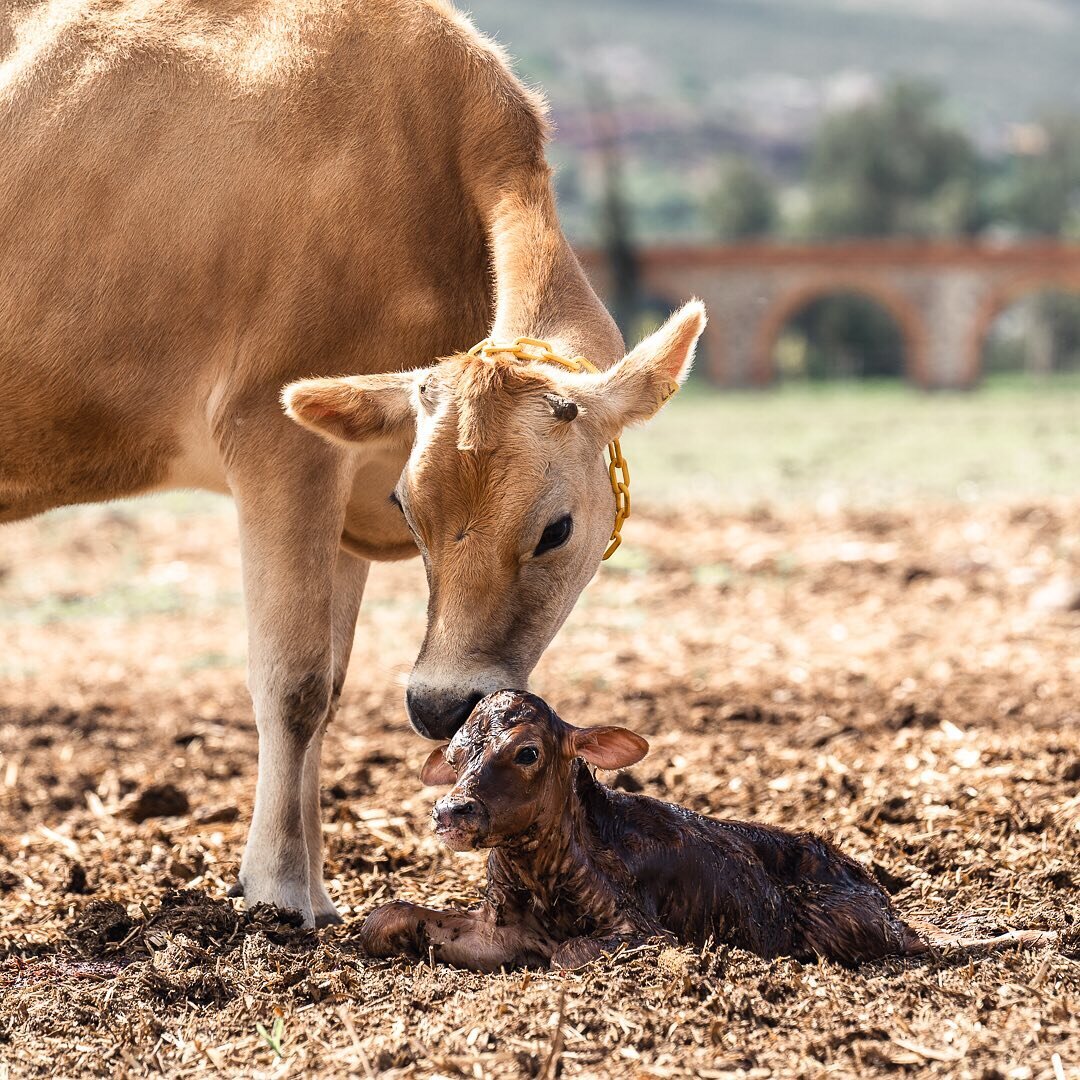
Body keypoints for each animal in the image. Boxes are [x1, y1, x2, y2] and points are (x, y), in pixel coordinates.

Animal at [0, 0, 704, 928]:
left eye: (557, 529)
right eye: (414, 512)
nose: (439, 703)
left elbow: (329, 688)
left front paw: (317, 890)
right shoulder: (276, 438)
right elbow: (293, 683)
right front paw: (279, 892)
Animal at [358, 691, 924, 972]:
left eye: (527, 752)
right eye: (454, 760)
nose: (451, 812)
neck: (540, 872)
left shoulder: (643, 929)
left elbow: (567, 953)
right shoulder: (496, 926)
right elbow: (384, 917)